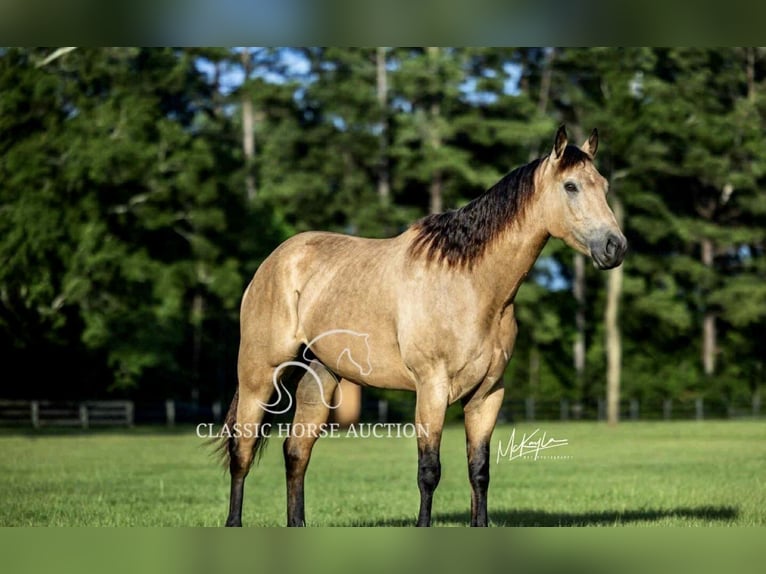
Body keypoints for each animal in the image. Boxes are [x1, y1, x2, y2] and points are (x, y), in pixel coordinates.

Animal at [219, 125, 627, 527]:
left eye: (605, 185)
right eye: (571, 186)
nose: (615, 246)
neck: (470, 285)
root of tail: (274, 262)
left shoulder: (488, 394)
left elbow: (479, 471)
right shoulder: (432, 388)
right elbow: (429, 471)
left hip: (318, 376)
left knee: (296, 452)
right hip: (260, 375)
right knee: (242, 451)